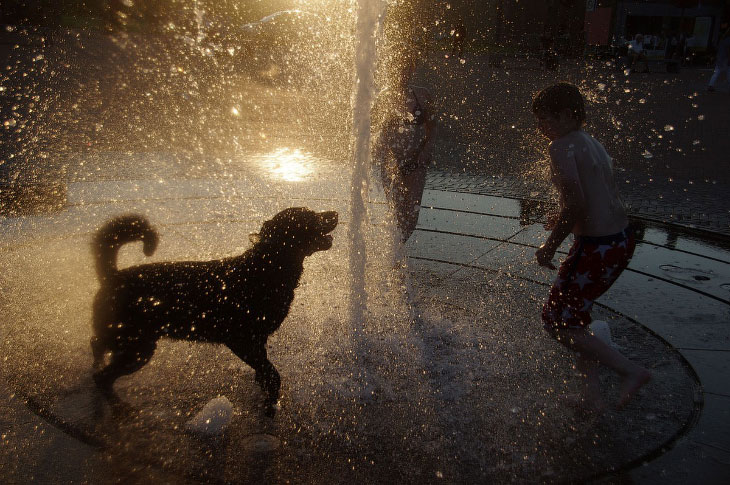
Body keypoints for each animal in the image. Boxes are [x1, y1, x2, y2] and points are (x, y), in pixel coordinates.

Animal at [89, 206, 336, 414]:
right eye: (310, 216)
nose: (335, 213)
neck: (267, 268)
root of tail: (113, 276)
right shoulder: (241, 340)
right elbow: (272, 374)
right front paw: (270, 403)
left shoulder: (258, 340)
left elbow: (265, 369)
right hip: (138, 347)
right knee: (102, 377)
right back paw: (119, 406)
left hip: (127, 340)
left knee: (97, 344)